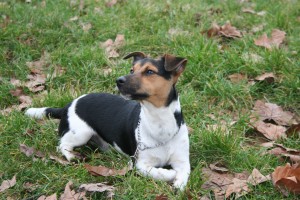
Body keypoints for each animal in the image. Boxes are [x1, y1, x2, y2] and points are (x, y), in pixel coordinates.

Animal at [25, 51, 190, 189]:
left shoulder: (183, 162)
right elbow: (157, 172)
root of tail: (68, 104)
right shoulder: (141, 163)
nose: (119, 80)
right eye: (132, 70)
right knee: (62, 144)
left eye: (150, 71)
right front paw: (170, 174)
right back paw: (71, 156)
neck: (159, 120)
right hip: (81, 133)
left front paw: (178, 185)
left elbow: (183, 175)